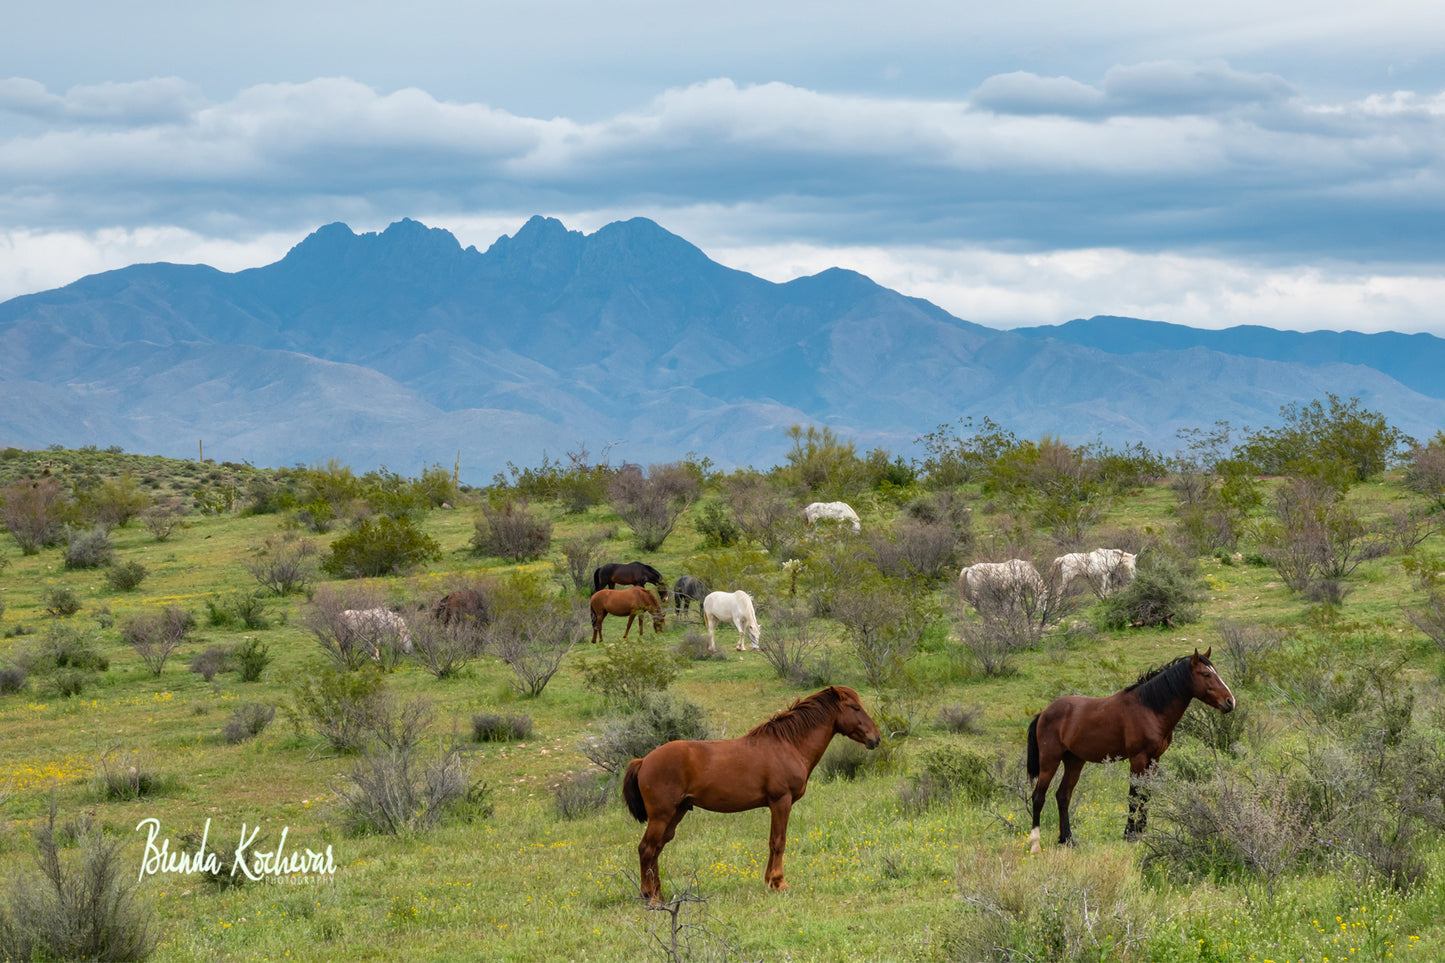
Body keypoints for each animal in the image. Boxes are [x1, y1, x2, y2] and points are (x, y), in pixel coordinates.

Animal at [623, 685, 881, 902]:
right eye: (856, 708)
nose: (876, 738)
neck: (788, 745)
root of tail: (644, 760)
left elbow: (771, 841)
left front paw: (769, 881)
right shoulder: (781, 801)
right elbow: (779, 841)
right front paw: (779, 882)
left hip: (677, 813)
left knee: (656, 849)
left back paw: (657, 892)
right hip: (662, 816)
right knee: (646, 849)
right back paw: (650, 896)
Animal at [1026, 648, 1235, 853]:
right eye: (1206, 674)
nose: (1230, 701)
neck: (1150, 708)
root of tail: (1043, 713)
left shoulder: (1154, 759)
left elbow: (1146, 795)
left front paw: (1142, 830)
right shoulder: (1138, 758)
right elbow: (1134, 796)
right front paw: (1130, 834)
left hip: (1074, 761)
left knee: (1063, 796)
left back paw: (1067, 840)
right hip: (1050, 761)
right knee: (1038, 797)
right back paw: (1035, 843)